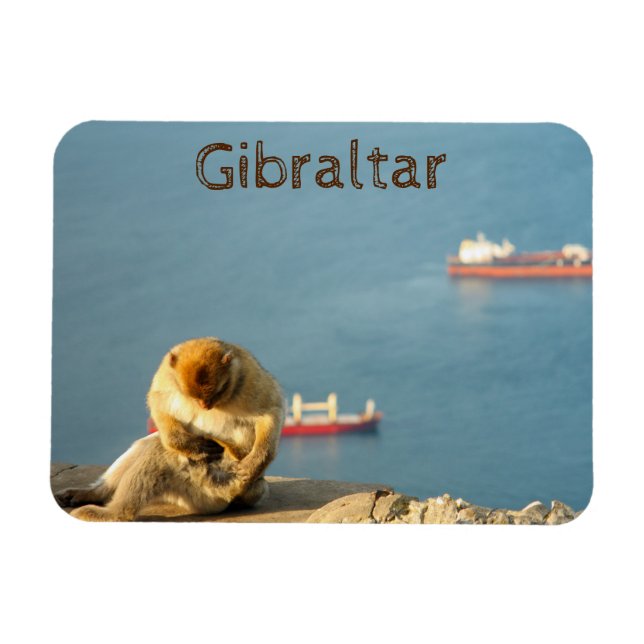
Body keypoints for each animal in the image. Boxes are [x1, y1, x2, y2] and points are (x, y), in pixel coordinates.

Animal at [55, 337, 286, 521]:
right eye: (193, 395)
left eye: (217, 392)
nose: (204, 405)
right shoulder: (165, 372)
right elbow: (158, 401)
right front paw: (187, 444)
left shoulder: (249, 377)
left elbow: (271, 410)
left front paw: (255, 462)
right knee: (151, 442)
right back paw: (94, 494)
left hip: (215, 483)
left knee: (158, 451)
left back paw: (115, 513)